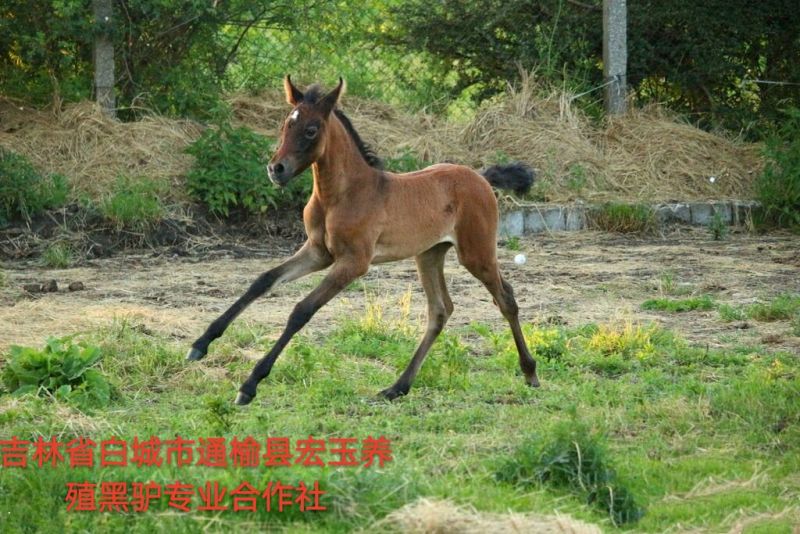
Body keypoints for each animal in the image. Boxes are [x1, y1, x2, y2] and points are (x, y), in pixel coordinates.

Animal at [186, 76, 540, 405]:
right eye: (287, 123)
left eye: (312, 130)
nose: (276, 169)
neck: (342, 195)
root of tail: (480, 177)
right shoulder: (318, 252)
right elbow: (263, 280)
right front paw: (200, 344)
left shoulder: (354, 262)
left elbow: (302, 310)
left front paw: (250, 384)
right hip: (428, 254)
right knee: (440, 310)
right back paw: (397, 387)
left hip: (475, 253)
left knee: (506, 299)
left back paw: (530, 372)